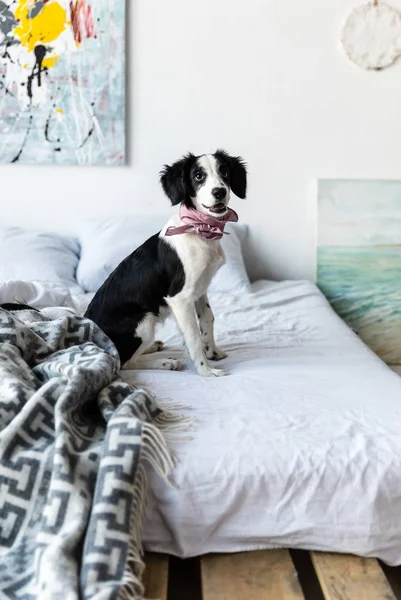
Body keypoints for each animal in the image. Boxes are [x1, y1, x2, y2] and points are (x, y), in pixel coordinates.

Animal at [85, 149, 247, 376]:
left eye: (224, 172)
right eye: (198, 176)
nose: (219, 192)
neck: (200, 229)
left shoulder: (200, 289)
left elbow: (208, 319)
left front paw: (213, 351)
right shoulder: (180, 298)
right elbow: (193, 337)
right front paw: (206, 370)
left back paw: (154, 347)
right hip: (143, 321)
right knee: (123, 362)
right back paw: (165, 362)